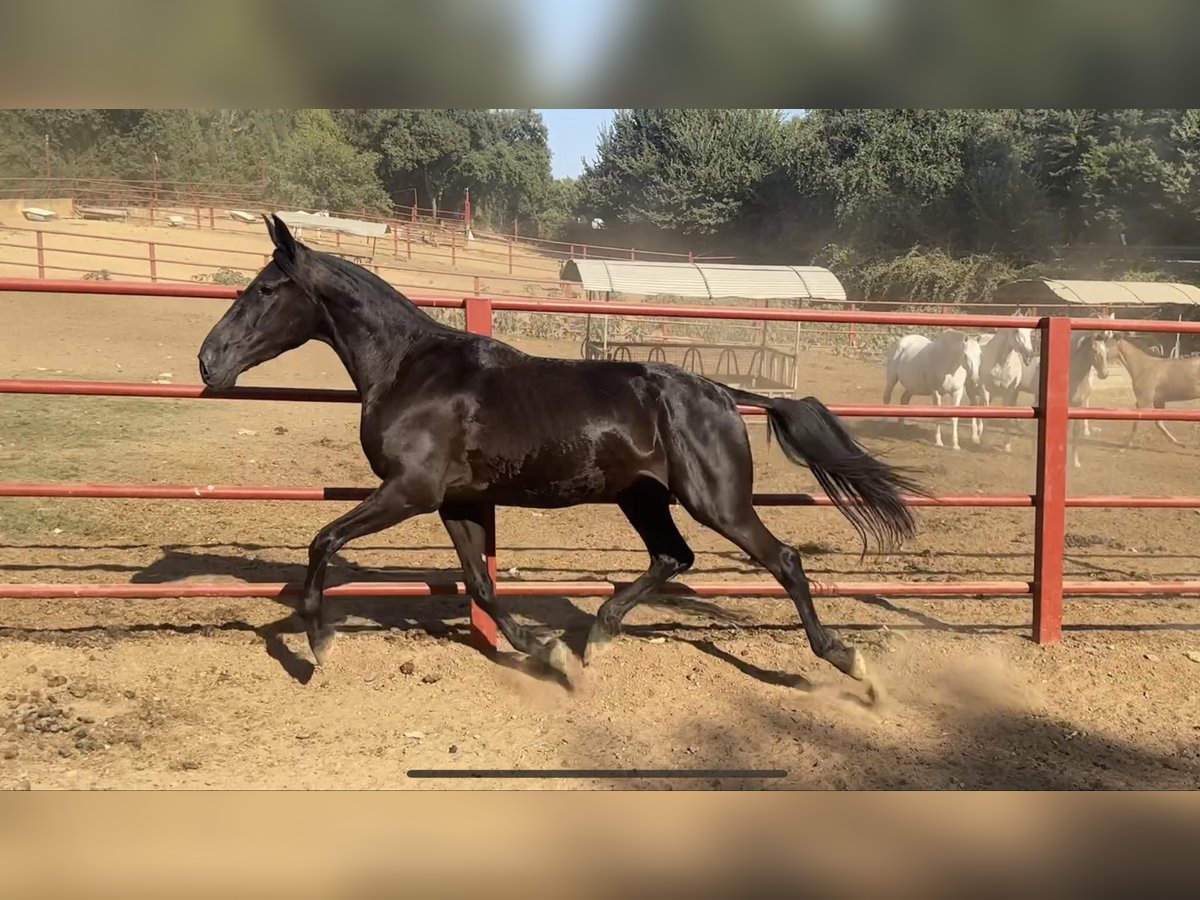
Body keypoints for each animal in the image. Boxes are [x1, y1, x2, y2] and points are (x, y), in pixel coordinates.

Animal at [199, 214, 926, 696]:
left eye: (264, 289)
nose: (209, 360)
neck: (411, 370)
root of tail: (720, 391)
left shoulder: (411, 491)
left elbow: (324, 541)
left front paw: (316, 644)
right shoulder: (457, 501)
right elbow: (481, 584)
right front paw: (546, 653)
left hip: (717, 500)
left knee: (783, 561)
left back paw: (847, 662)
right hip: (642, 497)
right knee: (673, 557)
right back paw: (596, 636)